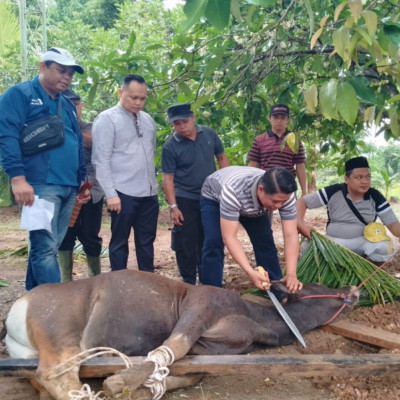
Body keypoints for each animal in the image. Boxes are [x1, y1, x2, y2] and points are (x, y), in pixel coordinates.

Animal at [3, 270, 360, 398]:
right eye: (315, 286)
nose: (353, 290)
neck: (255, 319)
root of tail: (18, 308)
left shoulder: (214, 349)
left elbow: (192, 372)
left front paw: (149, 387)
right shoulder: (198, 310)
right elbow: (171, 347)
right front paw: (121, 383)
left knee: (41, 380)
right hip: (62, 338)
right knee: (56, 377)